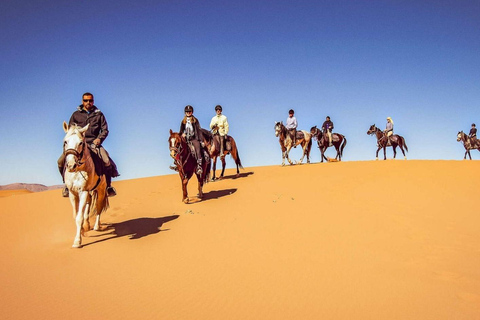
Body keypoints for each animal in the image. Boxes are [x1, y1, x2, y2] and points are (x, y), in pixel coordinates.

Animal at [62, 121, 108, 249]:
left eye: (81, 142)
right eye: (65, 141)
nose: (71, 165)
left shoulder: (83, 191)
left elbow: (79, 217)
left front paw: (77, 241)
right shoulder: (73, 193)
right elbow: (76, 215)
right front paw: (83, 230)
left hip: (101, 190)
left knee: (98, 207)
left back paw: (97, 226)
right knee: (89, 203)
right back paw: (87, 225)